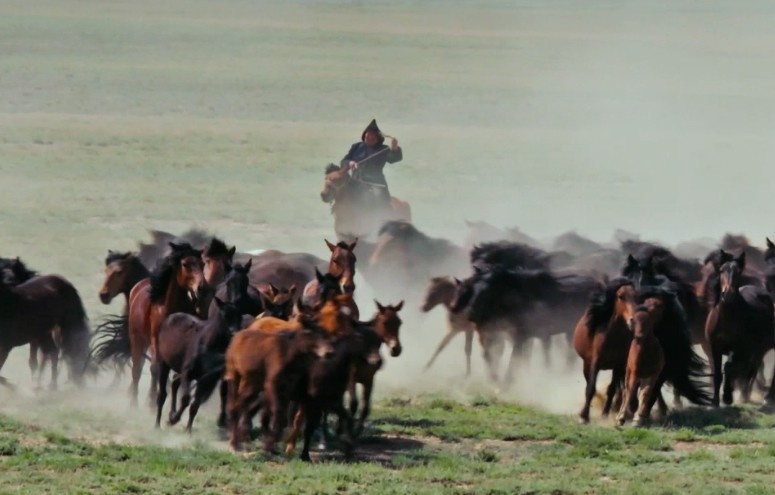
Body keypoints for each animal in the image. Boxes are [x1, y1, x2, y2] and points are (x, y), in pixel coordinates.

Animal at [124, 242, 205, 408]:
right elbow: (155, 368)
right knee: (137, 369)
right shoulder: (156, 340)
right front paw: (152, 402)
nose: (201, 287)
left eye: (203, 264)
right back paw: (134, 403)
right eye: (185, 264)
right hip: (137, 339)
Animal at [620, 296, 668, 428]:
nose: (639, 336)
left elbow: (645, 393)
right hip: (629, 371)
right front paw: (622, 418)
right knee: (626, 391)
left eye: (647, 322)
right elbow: (630, 392)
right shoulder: (634, 372)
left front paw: (638, 419)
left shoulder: (653, 374)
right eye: (634, 321)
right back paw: (620, 416)